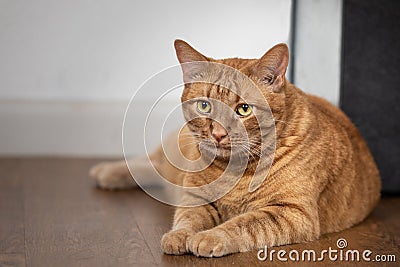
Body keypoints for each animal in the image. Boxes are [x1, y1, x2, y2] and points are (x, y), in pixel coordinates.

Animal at [90, 39, 382, 258]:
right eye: (205, 106)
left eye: (243, 109)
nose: (218, 133)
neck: (236, 171)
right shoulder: (194, 196)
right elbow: (188, 217)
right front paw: (179, 236)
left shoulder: (292, 212)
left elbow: (244, 224)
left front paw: (209, 237)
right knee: (149, 163)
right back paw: (106, 172)